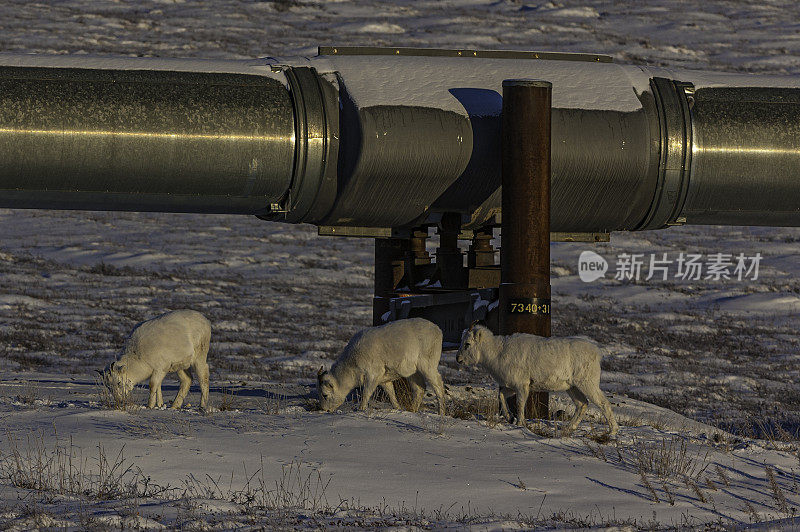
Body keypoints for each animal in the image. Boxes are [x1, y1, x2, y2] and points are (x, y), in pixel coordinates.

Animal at [456, 322, 620, 434]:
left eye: (467, 344)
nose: (458, 359)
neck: (497, 353)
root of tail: (597, 353)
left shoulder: (522, 386)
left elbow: (520, 404)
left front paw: (519, 423)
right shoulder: (511, 387)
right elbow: (502, 396)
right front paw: (509, 418)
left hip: (587, 384)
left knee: (603, 403)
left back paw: (612, 431)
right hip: (572, 387)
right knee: (582, 404)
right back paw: (568, 428)